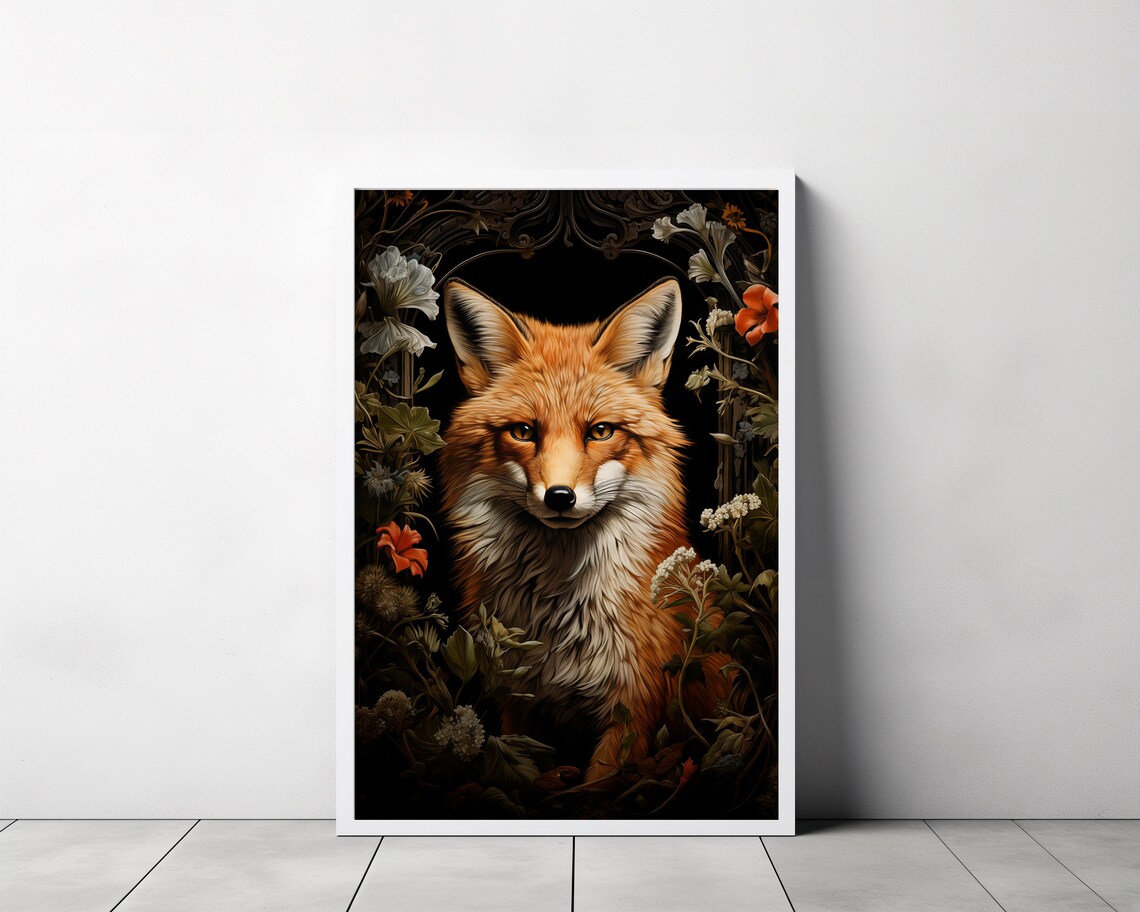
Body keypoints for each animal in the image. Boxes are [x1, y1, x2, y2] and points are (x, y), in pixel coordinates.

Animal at [439, 276, 728, 783]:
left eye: (600, 431)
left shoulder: (633, 708)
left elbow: (600, 782)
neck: (558, 621)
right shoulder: (516, 702)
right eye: (523, 431)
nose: (560, 497)